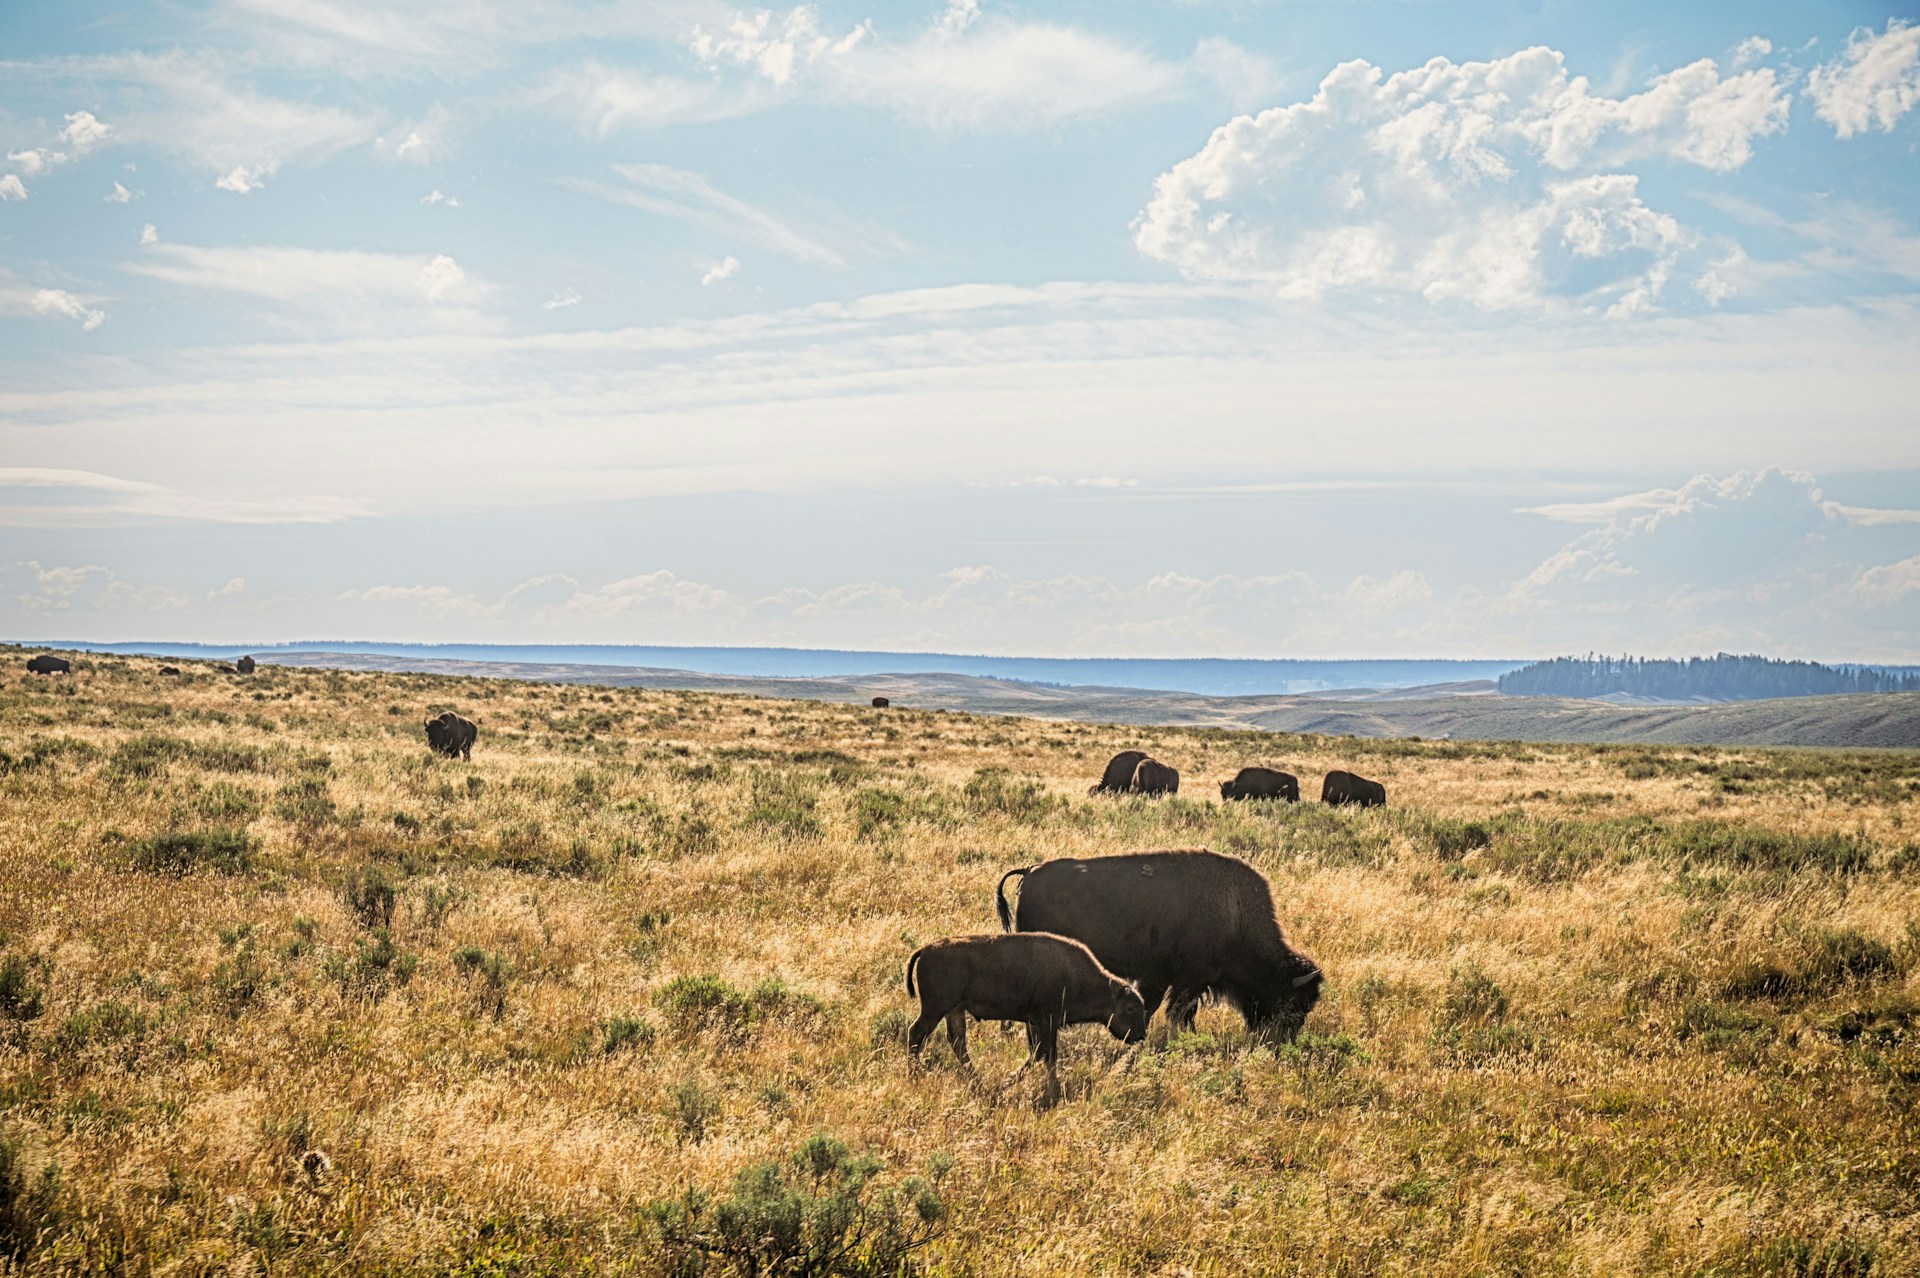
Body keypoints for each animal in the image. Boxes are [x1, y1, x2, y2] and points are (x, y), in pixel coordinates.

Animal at [906, 931, 1146, 1096]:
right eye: (1131, 1007)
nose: (1141, 1034)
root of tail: (925, 949)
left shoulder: (1035, 1023)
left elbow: (1037, 1053)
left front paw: (1008, 1082)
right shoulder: (1047, 1021)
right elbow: (1048, 1054)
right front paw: (1052, 1088)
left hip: (954, 1010)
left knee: (957, 1041)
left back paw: (978, 1081)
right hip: (935, 1009)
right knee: (916, 1033)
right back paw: (914, 1076)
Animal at [997, 849, 1322, 1038]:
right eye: (1294, 1003)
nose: (1282, 1041)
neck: (1234, 910)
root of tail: (1030, 872)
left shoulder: (1159, 977)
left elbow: (1152, 1006)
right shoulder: (1190, 980)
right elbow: (1178, 1012)